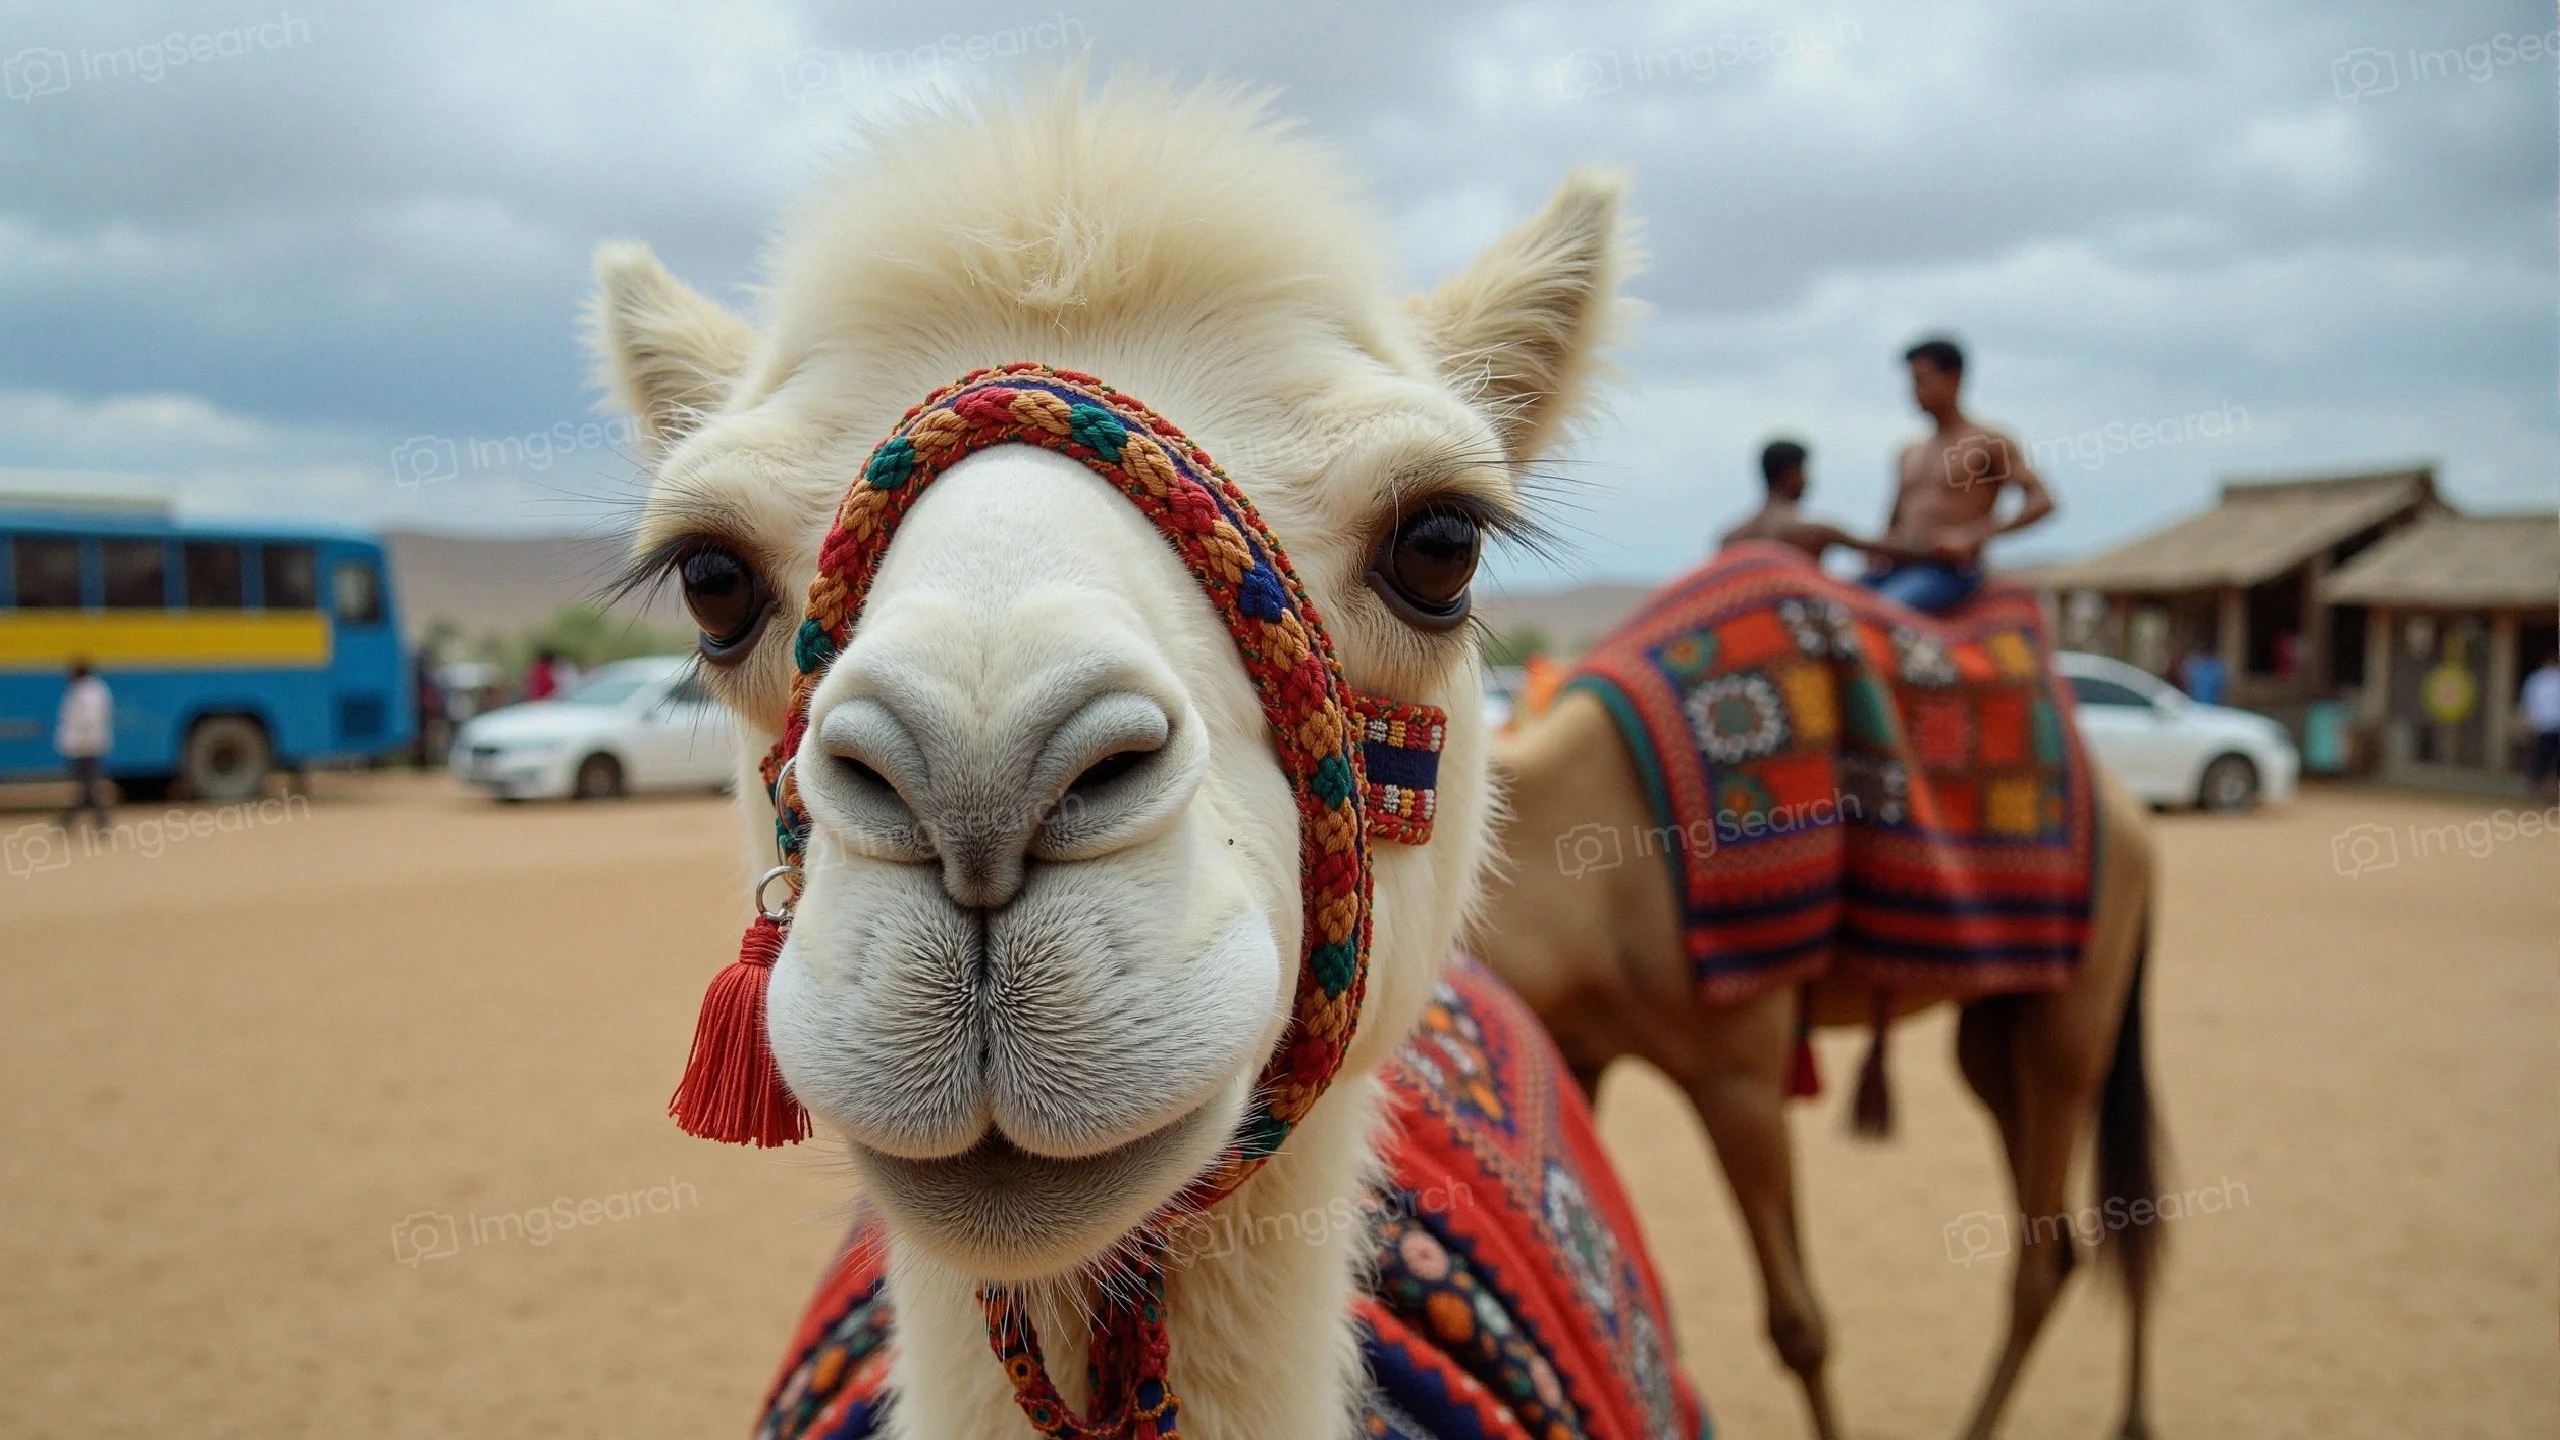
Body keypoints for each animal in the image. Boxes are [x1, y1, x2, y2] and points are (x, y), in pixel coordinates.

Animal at [1477, 655, 2162, 1440]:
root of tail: (2135, 822)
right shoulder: (1581, 1053)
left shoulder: (1737, 1073)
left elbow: (1798, 1324)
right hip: (2000, 1022)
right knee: (2088, 1219)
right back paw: (2131, 1417)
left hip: (2077, 1003)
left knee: (2054, 1236)